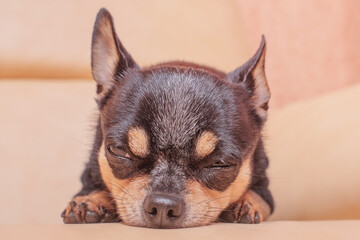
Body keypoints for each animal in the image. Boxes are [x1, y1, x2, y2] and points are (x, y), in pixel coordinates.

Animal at [61, 7, 272, 229]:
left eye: (220, 164)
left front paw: (246, 202)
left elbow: (257, 195)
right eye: (119, 151)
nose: (162, 205)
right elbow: (95, 186)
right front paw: (90, 200)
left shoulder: (264, 188)